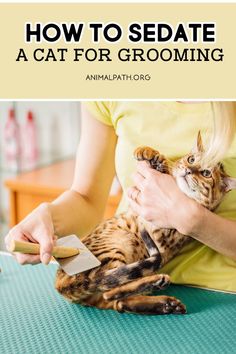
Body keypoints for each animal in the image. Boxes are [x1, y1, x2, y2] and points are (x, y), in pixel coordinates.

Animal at [55, 133, 236, 316]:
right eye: (191, 159)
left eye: (206, 173)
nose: (188, 170)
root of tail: (60, 282)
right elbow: (165, 165)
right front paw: (150, 153)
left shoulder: (162, 233)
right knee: (115, 297)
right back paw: (164, 301)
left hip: (118, 245)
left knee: (111, 292)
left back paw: (159, 288)